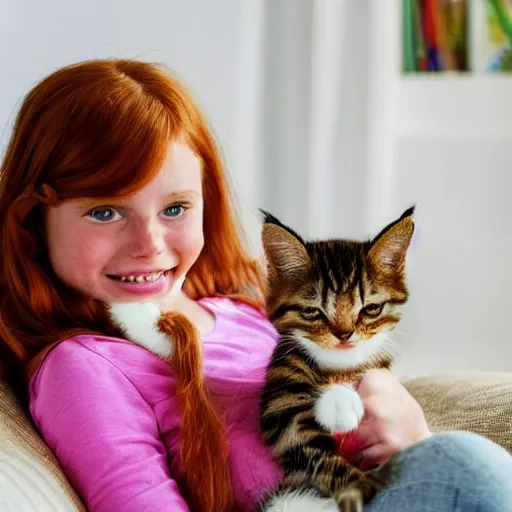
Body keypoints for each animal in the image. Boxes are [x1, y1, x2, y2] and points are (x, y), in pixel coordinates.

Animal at [260, 208, 416, 512]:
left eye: (371, 308)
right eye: (312, 311)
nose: (344, 334)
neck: (338, 368)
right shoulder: (279, 399)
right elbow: (302, 439)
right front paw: (354, 487)